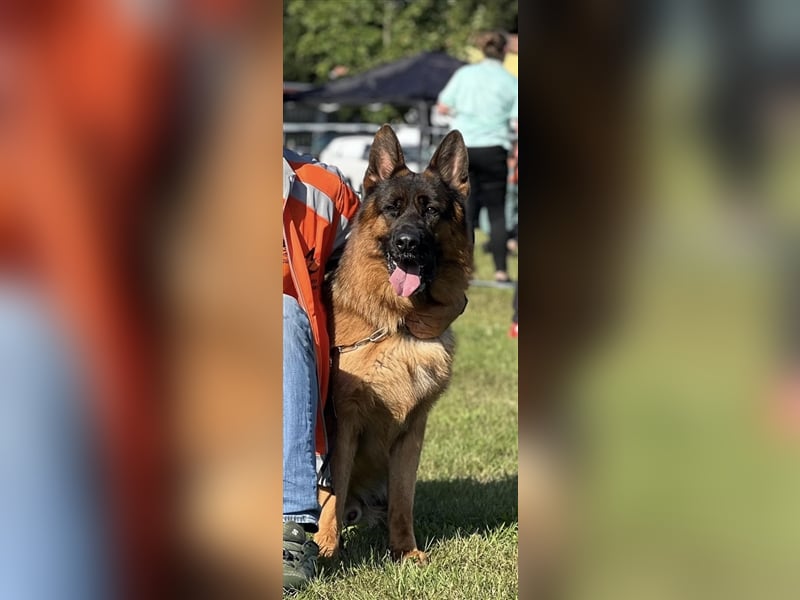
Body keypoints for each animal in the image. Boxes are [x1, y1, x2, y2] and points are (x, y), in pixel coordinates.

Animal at [314, 123, 476, 564]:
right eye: (392, 208)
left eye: (431, 210)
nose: (406, 243)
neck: (397, 323)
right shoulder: (344, 426)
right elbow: (331, 494)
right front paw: (326, 550)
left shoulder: (412, 432)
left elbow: (404, 499)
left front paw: (405, 551)